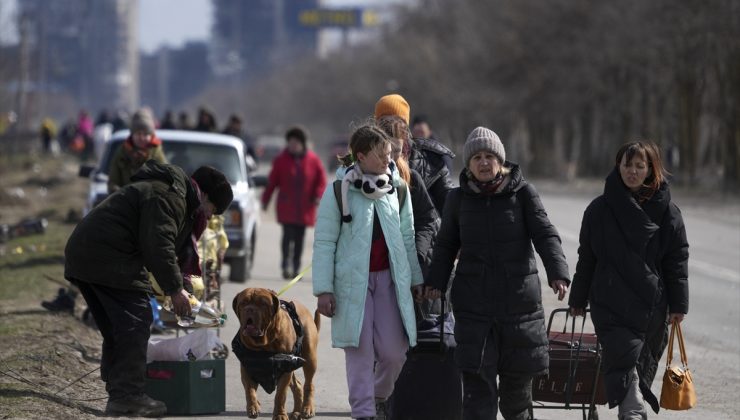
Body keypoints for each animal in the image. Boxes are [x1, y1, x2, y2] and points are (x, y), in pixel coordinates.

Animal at [234, 288, 320, 420]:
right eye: (243, 303)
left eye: (262, 303)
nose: (250, 309)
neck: (264, 343)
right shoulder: (247, 367)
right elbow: (249, 390)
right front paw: (253, 407)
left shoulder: (285, 368)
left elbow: (280, 394)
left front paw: (280, 414)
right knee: (298, 385)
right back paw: (296, 411)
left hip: (309, 358)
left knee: (308, 384)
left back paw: (307, 408)